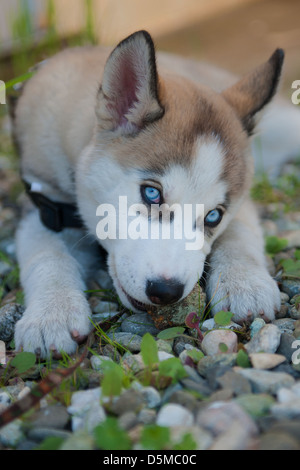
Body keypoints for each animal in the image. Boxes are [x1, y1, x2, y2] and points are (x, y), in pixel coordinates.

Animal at [12, 30, 298, 356]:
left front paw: (246, 284)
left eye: (214, 216)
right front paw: (50, 316)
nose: (166, 291)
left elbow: (240, 234)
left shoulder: (243, 205)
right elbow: (46, 257)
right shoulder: (43, 206)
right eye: (151, 194)